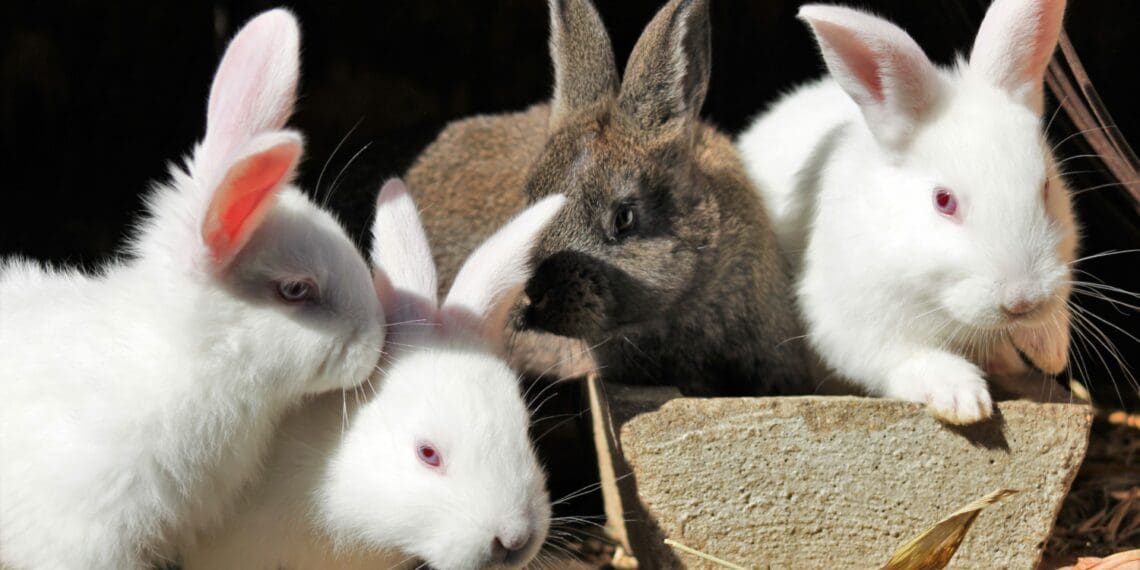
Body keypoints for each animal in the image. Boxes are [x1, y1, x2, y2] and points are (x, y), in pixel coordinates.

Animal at [735, 0, 1079, 424]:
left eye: (1046, 187)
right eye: (943, 201)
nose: (1022, 302)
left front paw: (1050, 350)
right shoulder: (851, 319)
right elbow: (906, 357)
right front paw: (963, 399)